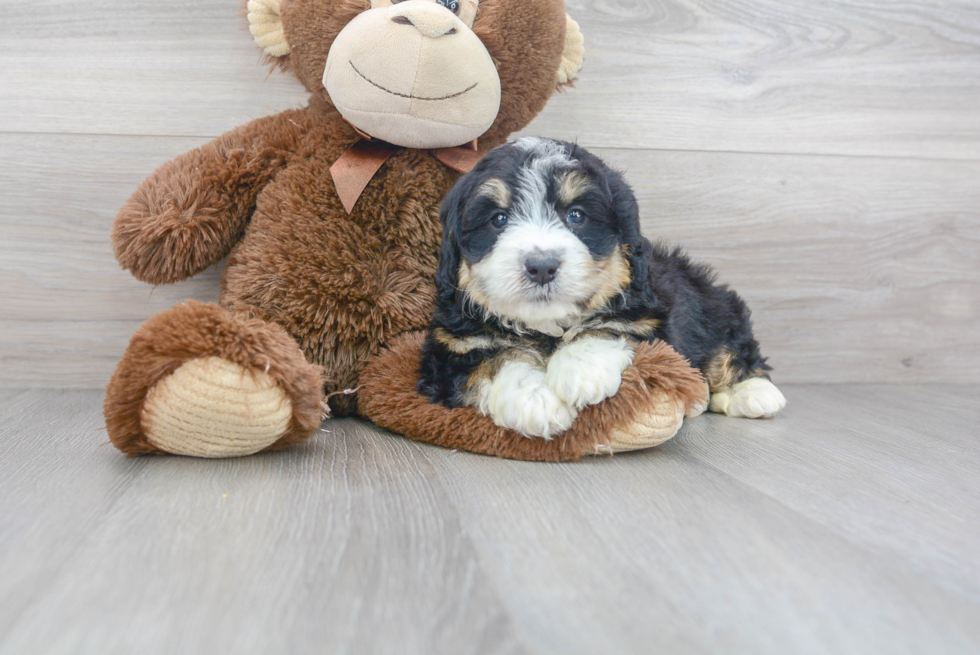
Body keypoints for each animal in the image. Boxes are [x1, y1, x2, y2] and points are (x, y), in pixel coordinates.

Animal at [418, 137, 784, 440]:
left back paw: (753, 393)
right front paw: (535, 398)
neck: (545, 327)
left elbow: (610, 326)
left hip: (713, 305)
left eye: (576, 216)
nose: (541, 265)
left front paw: (579, 369)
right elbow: (495, 359)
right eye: (498, 219)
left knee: (730, 349)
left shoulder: (653, 323)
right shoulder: (450, 349)